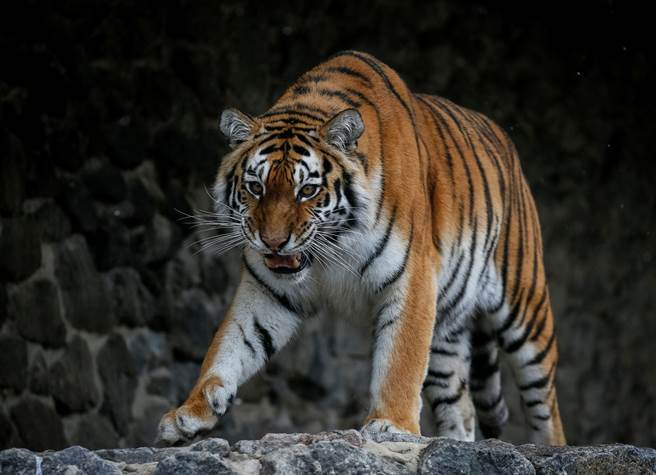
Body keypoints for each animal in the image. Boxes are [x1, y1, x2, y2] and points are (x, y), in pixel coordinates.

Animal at [157, 50, 566, 446]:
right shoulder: (267, 291)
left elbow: (400, 361)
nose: (273, 241)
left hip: (526, 311)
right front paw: (191, 412)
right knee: (460, 407)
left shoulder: (413, 279)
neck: (332, 247)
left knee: (545, 405)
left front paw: (391, 426)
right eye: (255, 187)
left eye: (307, 190)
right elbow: (229, 346)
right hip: (447, 333)